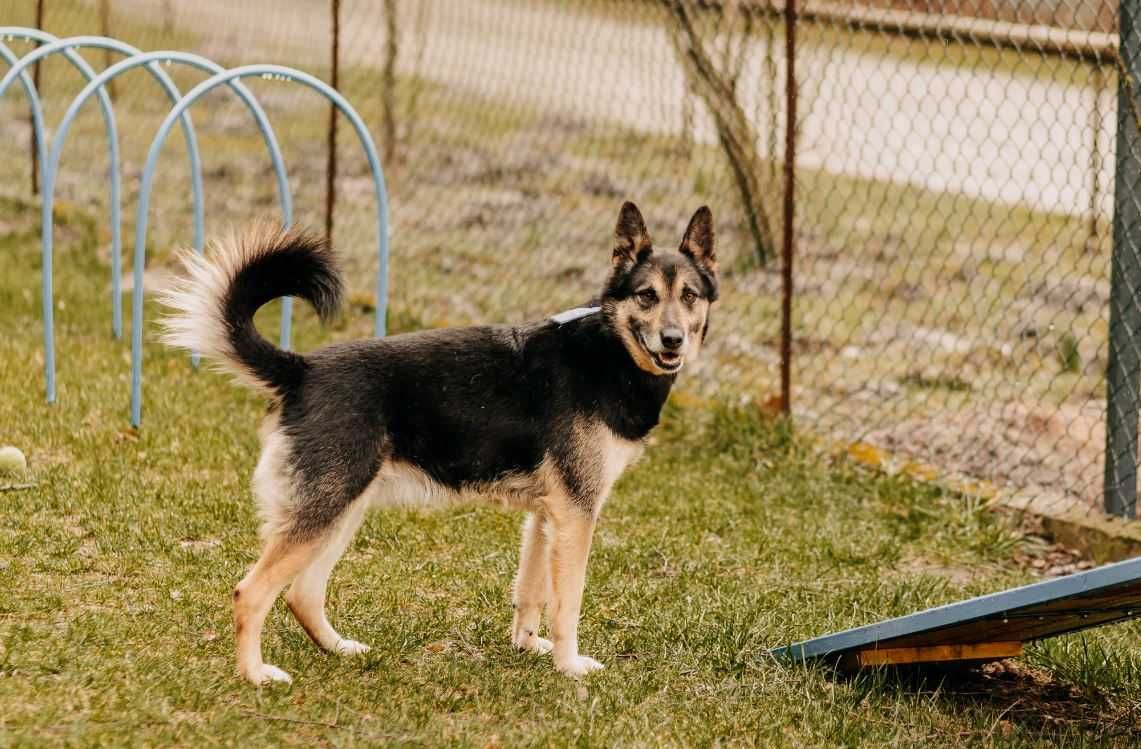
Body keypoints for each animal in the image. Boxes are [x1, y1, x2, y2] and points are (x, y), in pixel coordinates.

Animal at [160, 200, 716, 685]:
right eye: (646, 296)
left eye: (689, 296)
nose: (673, 340)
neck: (609, 350)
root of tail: (302, 371)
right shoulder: (577, 516)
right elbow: (568, 602)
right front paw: (569, 666)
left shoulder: (547, 517)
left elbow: (532, 591)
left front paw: (527, 647)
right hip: (324, 511)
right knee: (251, 593)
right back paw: (255, 675)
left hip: (341, 510)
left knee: (302, 594)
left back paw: (339, 649)